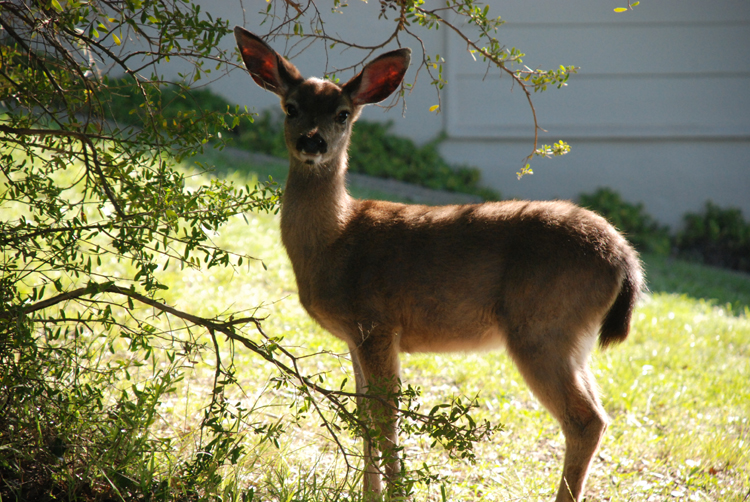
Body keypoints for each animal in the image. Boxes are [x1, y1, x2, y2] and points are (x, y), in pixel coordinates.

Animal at [236, 27, 648, 502]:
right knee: (596, 412)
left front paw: (395, 494)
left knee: (586, 420)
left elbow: (385, 417)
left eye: (342, 114)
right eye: (291, 107)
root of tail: (624, 256)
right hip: (571, 340)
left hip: (542, 327)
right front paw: (370, 494)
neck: (335, 239)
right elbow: (362, 413)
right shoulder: (355, 336)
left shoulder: (378, 323)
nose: (312, 141)